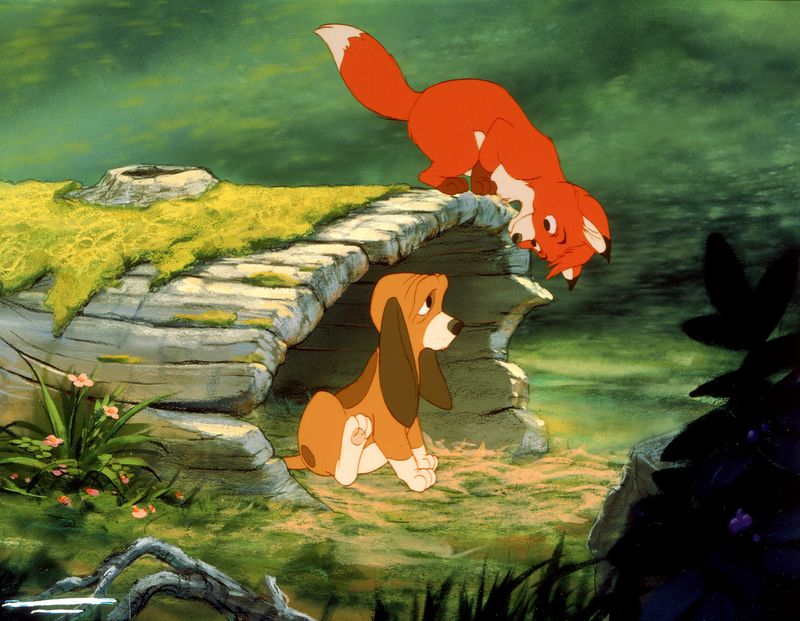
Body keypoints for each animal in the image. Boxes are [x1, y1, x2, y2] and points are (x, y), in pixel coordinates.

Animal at [315, 24, 611, 289]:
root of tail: (420, 97)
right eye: (548, 231)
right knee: (428, 173)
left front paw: (495, 195)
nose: (520, 239)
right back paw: (452, 185)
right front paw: (482, 188)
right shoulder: (500, 134)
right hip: (462, 150)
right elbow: (485, 169)